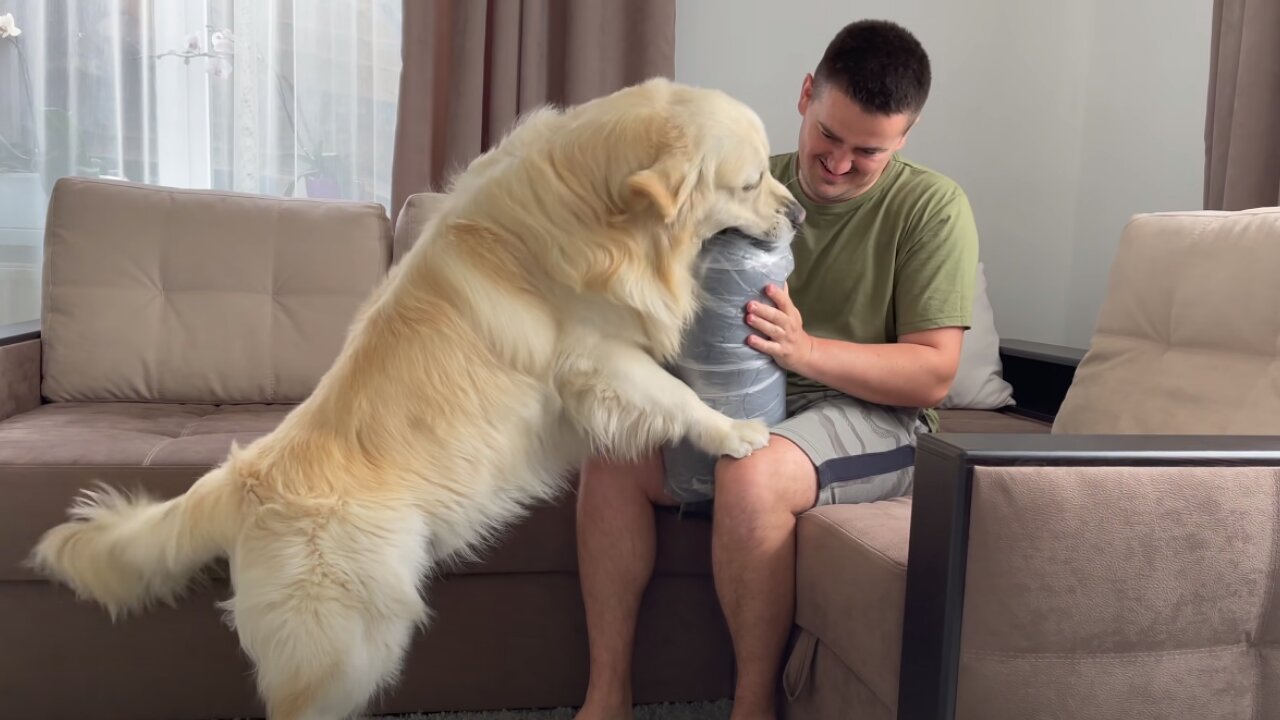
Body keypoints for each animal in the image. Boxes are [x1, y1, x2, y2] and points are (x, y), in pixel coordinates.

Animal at [27, 77, 798, 717]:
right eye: (751, 181)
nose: (797, 211)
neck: (591, 203)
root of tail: (241, 480)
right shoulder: (596, 358)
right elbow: (672, 394)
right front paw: (734, 431)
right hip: (349, 641)